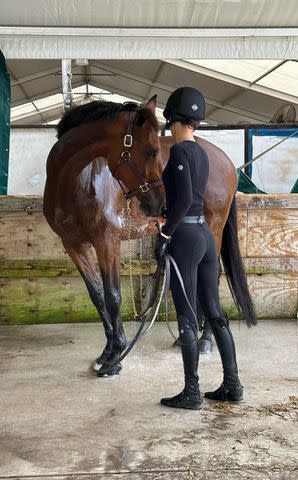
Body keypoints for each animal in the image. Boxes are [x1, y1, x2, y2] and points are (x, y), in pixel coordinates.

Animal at [43, 95, 255, 376]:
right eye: (151, 152)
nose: (162, 205)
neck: (76, 182)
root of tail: (226, 161)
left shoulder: (107, 242)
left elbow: (113, 296)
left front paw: (115, 356)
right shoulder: (74, 245)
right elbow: (97, 296)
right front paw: (106, 353)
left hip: (214, 227)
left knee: (212, 278)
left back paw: (205, 341)